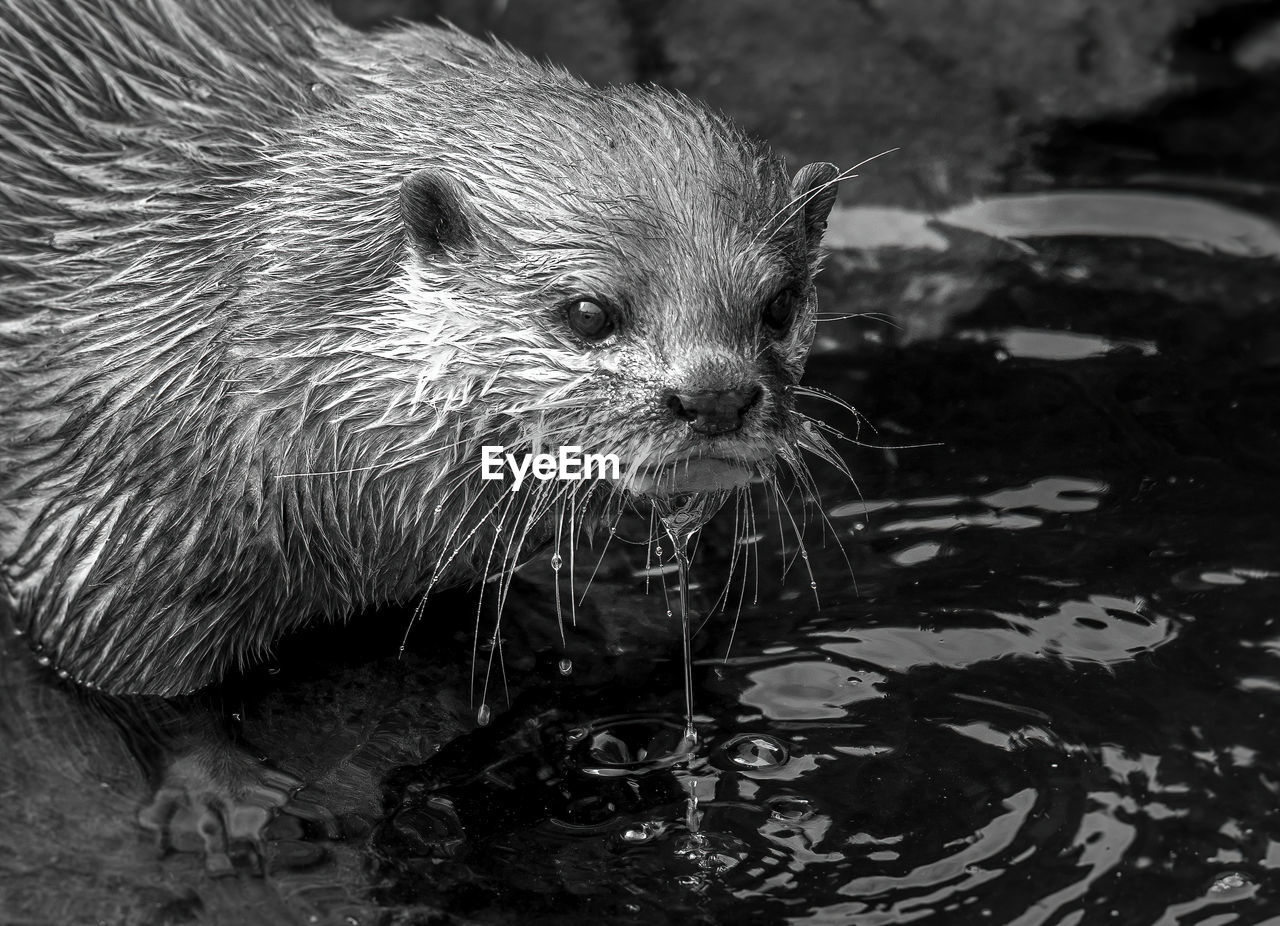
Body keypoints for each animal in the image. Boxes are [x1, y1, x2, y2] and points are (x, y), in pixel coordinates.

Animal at [0, 0, 844, 870]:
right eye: (587, 312)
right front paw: (221, 795)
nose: (716, 396)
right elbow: (127, 678)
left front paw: (547, 618)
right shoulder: (114, 506)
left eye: (779, 305)